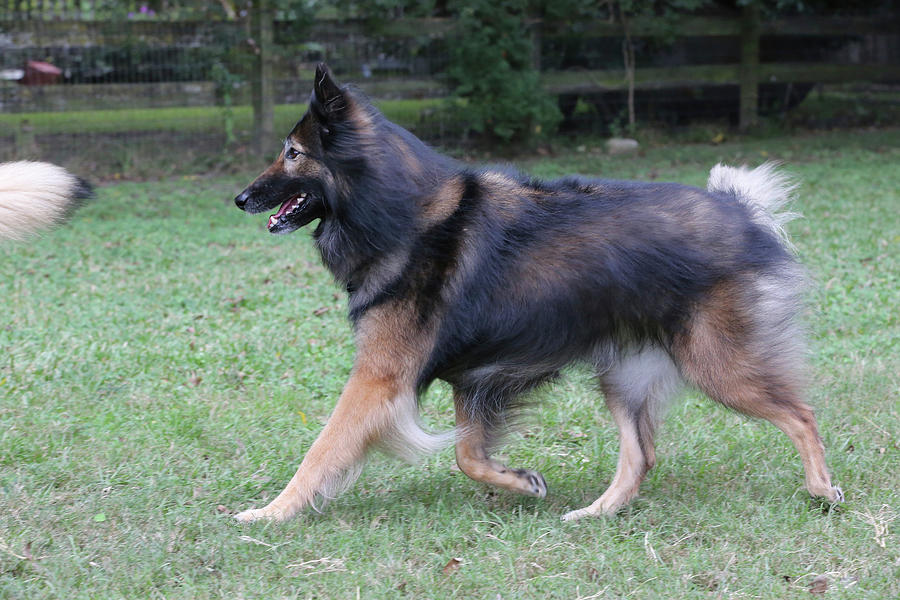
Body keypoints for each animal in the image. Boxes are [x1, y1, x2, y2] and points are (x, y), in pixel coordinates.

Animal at [232, 64, 844, 520]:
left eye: (292, 152)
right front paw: (522, 482)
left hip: (717, 364)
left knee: (802, 414)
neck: (401, 211)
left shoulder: (379, 379)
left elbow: (324, 449)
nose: (240, 198)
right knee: (641, 455)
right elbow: (467, 453)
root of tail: (740, 209)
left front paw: (272, 512)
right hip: (624, 374)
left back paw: (822, 490)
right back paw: (596, 512)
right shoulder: (473, 378)